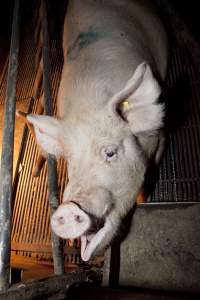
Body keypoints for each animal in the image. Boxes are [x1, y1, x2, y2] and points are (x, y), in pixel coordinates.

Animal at [26, 0, 167, 260]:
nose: (67, 207)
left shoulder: (160, 136)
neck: (89, 105)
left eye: (110, 152)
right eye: (70, 161)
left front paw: (145, 200)